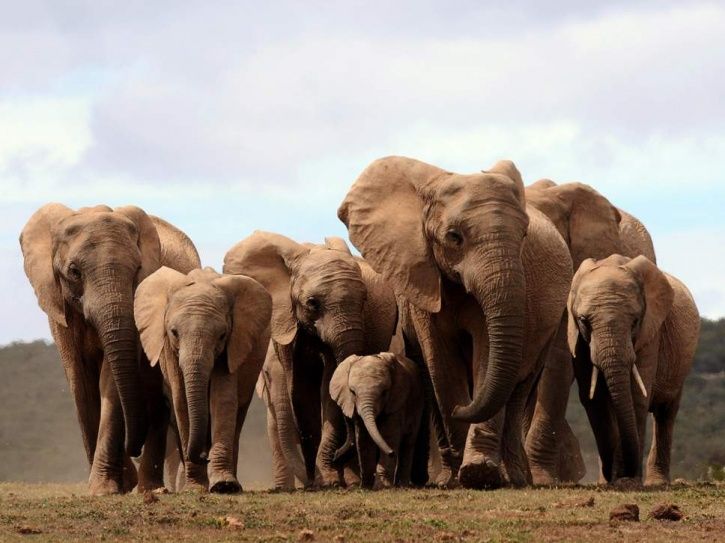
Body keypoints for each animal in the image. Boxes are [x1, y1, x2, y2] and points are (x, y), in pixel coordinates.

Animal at [20, 204, 200, 495]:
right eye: (74, 272)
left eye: (138, 269)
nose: (132, 448)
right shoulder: (59, 306)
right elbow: (79, 380)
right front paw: (112, 485)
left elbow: (110, 380)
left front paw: (107, 487)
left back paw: (148, 488)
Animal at [134, 266, 271, 493]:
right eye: (174, 332)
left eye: (222, 335)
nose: (203, 456)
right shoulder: (168, 350)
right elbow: (181, 401)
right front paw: (195, 488)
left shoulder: (233, 344)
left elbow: (222, 399)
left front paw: (224, 486)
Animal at [223, 233, 399, 486]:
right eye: (313, 303)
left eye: (364, 300)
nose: (338, 457)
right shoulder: (285, 320)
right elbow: (300, 388)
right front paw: (318, 481)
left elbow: (329, 387)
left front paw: (329, 479)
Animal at [330, 352, 427, 489]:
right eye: (353, 392)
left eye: (384, 393)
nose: (335, 456)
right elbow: (363, 439)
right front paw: (365, 487)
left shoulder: (396, 402)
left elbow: (388, 435)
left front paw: (383, 487)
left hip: (418, 403)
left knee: (408, 442)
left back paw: (402, 485)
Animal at [567, 255, 699, 485]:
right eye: (584, 321)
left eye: (635, 321)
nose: (617, 475)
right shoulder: (579, 340)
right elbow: (594, 399)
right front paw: (610, 482)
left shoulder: (651, 333)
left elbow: (637, 395)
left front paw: (627, 482)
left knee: (665, 413)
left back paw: (656, 482)